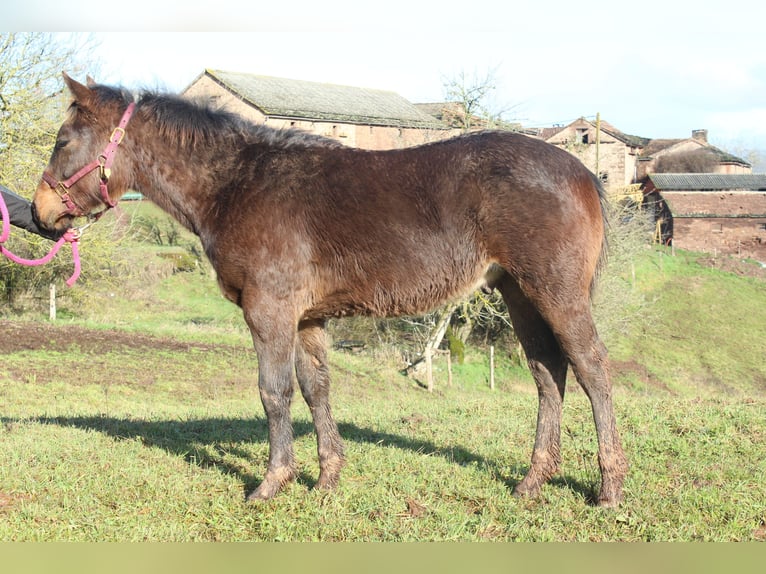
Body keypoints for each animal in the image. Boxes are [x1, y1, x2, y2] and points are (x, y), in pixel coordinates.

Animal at [32, 73, 628, 507]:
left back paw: (608, 487)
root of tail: (580, 171)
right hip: (519, 294)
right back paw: (532, 482)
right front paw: (326, 479)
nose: (39, 213)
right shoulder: (307, 318)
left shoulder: (269, 310)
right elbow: (316, 389)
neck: (238, 184)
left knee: (592, 367)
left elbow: (274, 393)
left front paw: (271, 483)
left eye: (63, 140)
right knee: (549, 373)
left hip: (554, 291)